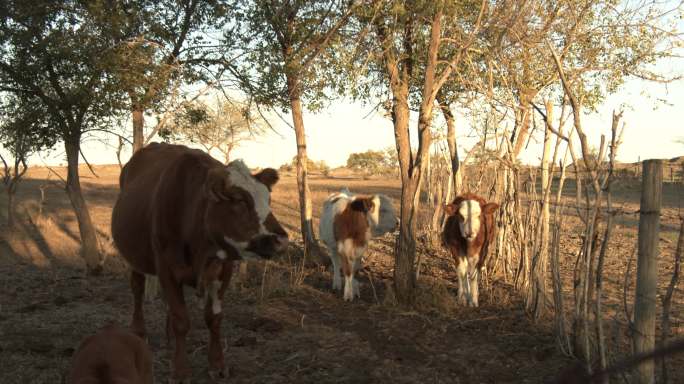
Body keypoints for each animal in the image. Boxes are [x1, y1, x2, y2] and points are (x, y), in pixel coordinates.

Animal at [111, 142, 288, 382]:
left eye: (268, 199)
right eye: (239, 200)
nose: (280, 240)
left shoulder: (223, 269)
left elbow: (214, 318)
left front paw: (217, 364)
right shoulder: (166, 268)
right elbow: (181, 320)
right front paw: (180, 370)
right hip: (134, 257)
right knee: (137, 289)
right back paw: (139, 331)